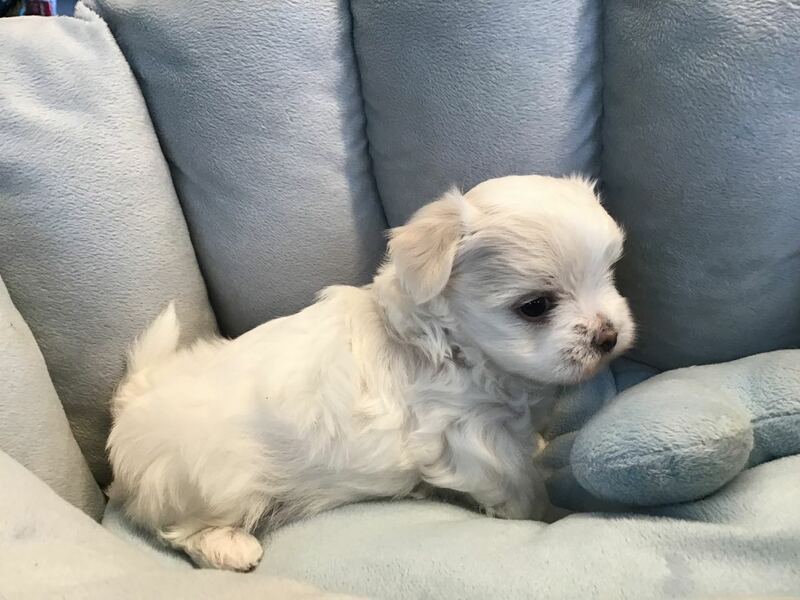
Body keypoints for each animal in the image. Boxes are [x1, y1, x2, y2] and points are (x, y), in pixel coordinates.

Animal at [107, 174, 635, 571]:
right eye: (536, 306)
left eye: (609, 275)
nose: (608, 336)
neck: (449, 345)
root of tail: (133, 401)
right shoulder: (470, 437)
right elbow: (519, 484)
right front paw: (544, 516)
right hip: (213, 480)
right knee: (178, 528)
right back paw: (230, 547)